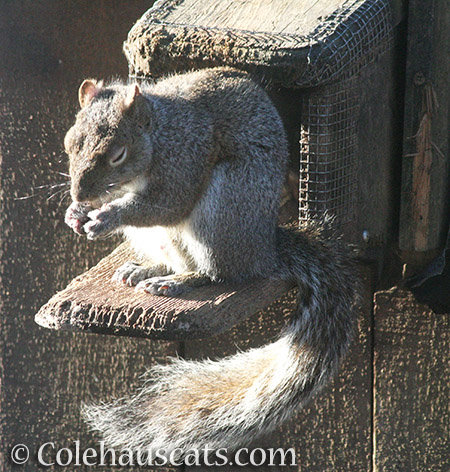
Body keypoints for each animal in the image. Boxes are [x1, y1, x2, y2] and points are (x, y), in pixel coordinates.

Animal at [62, 66, 358, 458]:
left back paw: (179, 281)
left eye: (118, 155)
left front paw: (106, 217)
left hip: (223, 208)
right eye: (69, 143)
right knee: (176, 259)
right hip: (160, 238)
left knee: (217, 273)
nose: (80, 193)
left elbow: (168, 204)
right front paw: (75, 212)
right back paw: (148, 269)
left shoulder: (184, 161)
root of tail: (264, 251)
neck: (159, 133)